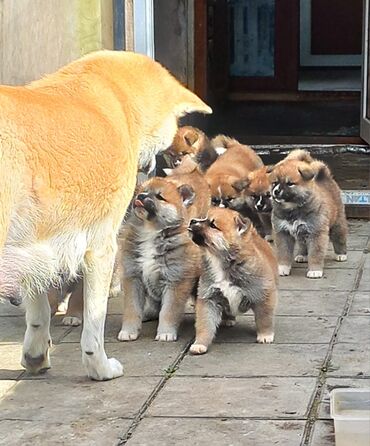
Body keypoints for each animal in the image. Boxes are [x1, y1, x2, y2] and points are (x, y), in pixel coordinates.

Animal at [118, 174, 208, 342]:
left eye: (160, 197)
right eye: (143, 191)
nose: (141, 196)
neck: (150, 232)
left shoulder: (175, 282)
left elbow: (168, 312)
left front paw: (166, 333)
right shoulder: (133, 278)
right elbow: (132, 309)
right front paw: (128, 331)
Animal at [188, 206, 278, 356]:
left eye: (213, 225)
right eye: (203, 217)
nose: (192, 221)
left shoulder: (263, 295)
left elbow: (264, 318)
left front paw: (265, 335)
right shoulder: (209, 299)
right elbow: (204, 325)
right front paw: (200, 343)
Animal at [268, 149, 346, 278]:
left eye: (290, 183)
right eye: (274, 182)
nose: (276, 191)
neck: (293, 208)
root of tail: (325, 176)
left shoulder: (316, 233)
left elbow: (315, 254)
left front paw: (315, 271)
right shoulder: (282, 232)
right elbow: (283, 252)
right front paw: (283, 268)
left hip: (337, 223)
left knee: (339, 237)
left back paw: (341, 254)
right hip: (302, 232)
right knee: (302, 244)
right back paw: (302, 256)